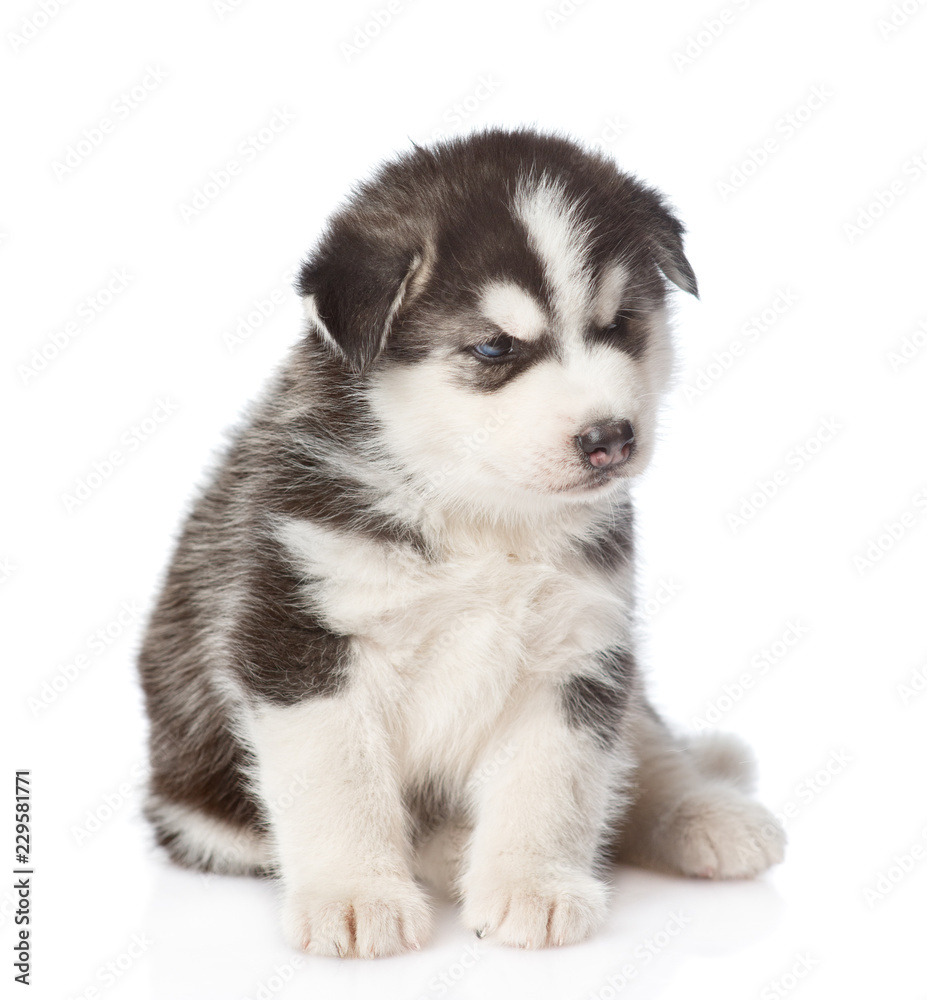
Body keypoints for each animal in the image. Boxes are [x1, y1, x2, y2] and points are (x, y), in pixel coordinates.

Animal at [138, 129, 788, 956]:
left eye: (619, 323)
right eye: (492, 349)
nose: (608, 437)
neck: (478, 517)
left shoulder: (579, 647)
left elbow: (554, 780)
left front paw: (531, 884)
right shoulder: (299, 639)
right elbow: (339, 780)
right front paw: (355, 894)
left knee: (646, 749)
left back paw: (706, 813)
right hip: (200, 808)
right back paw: (445, 851)